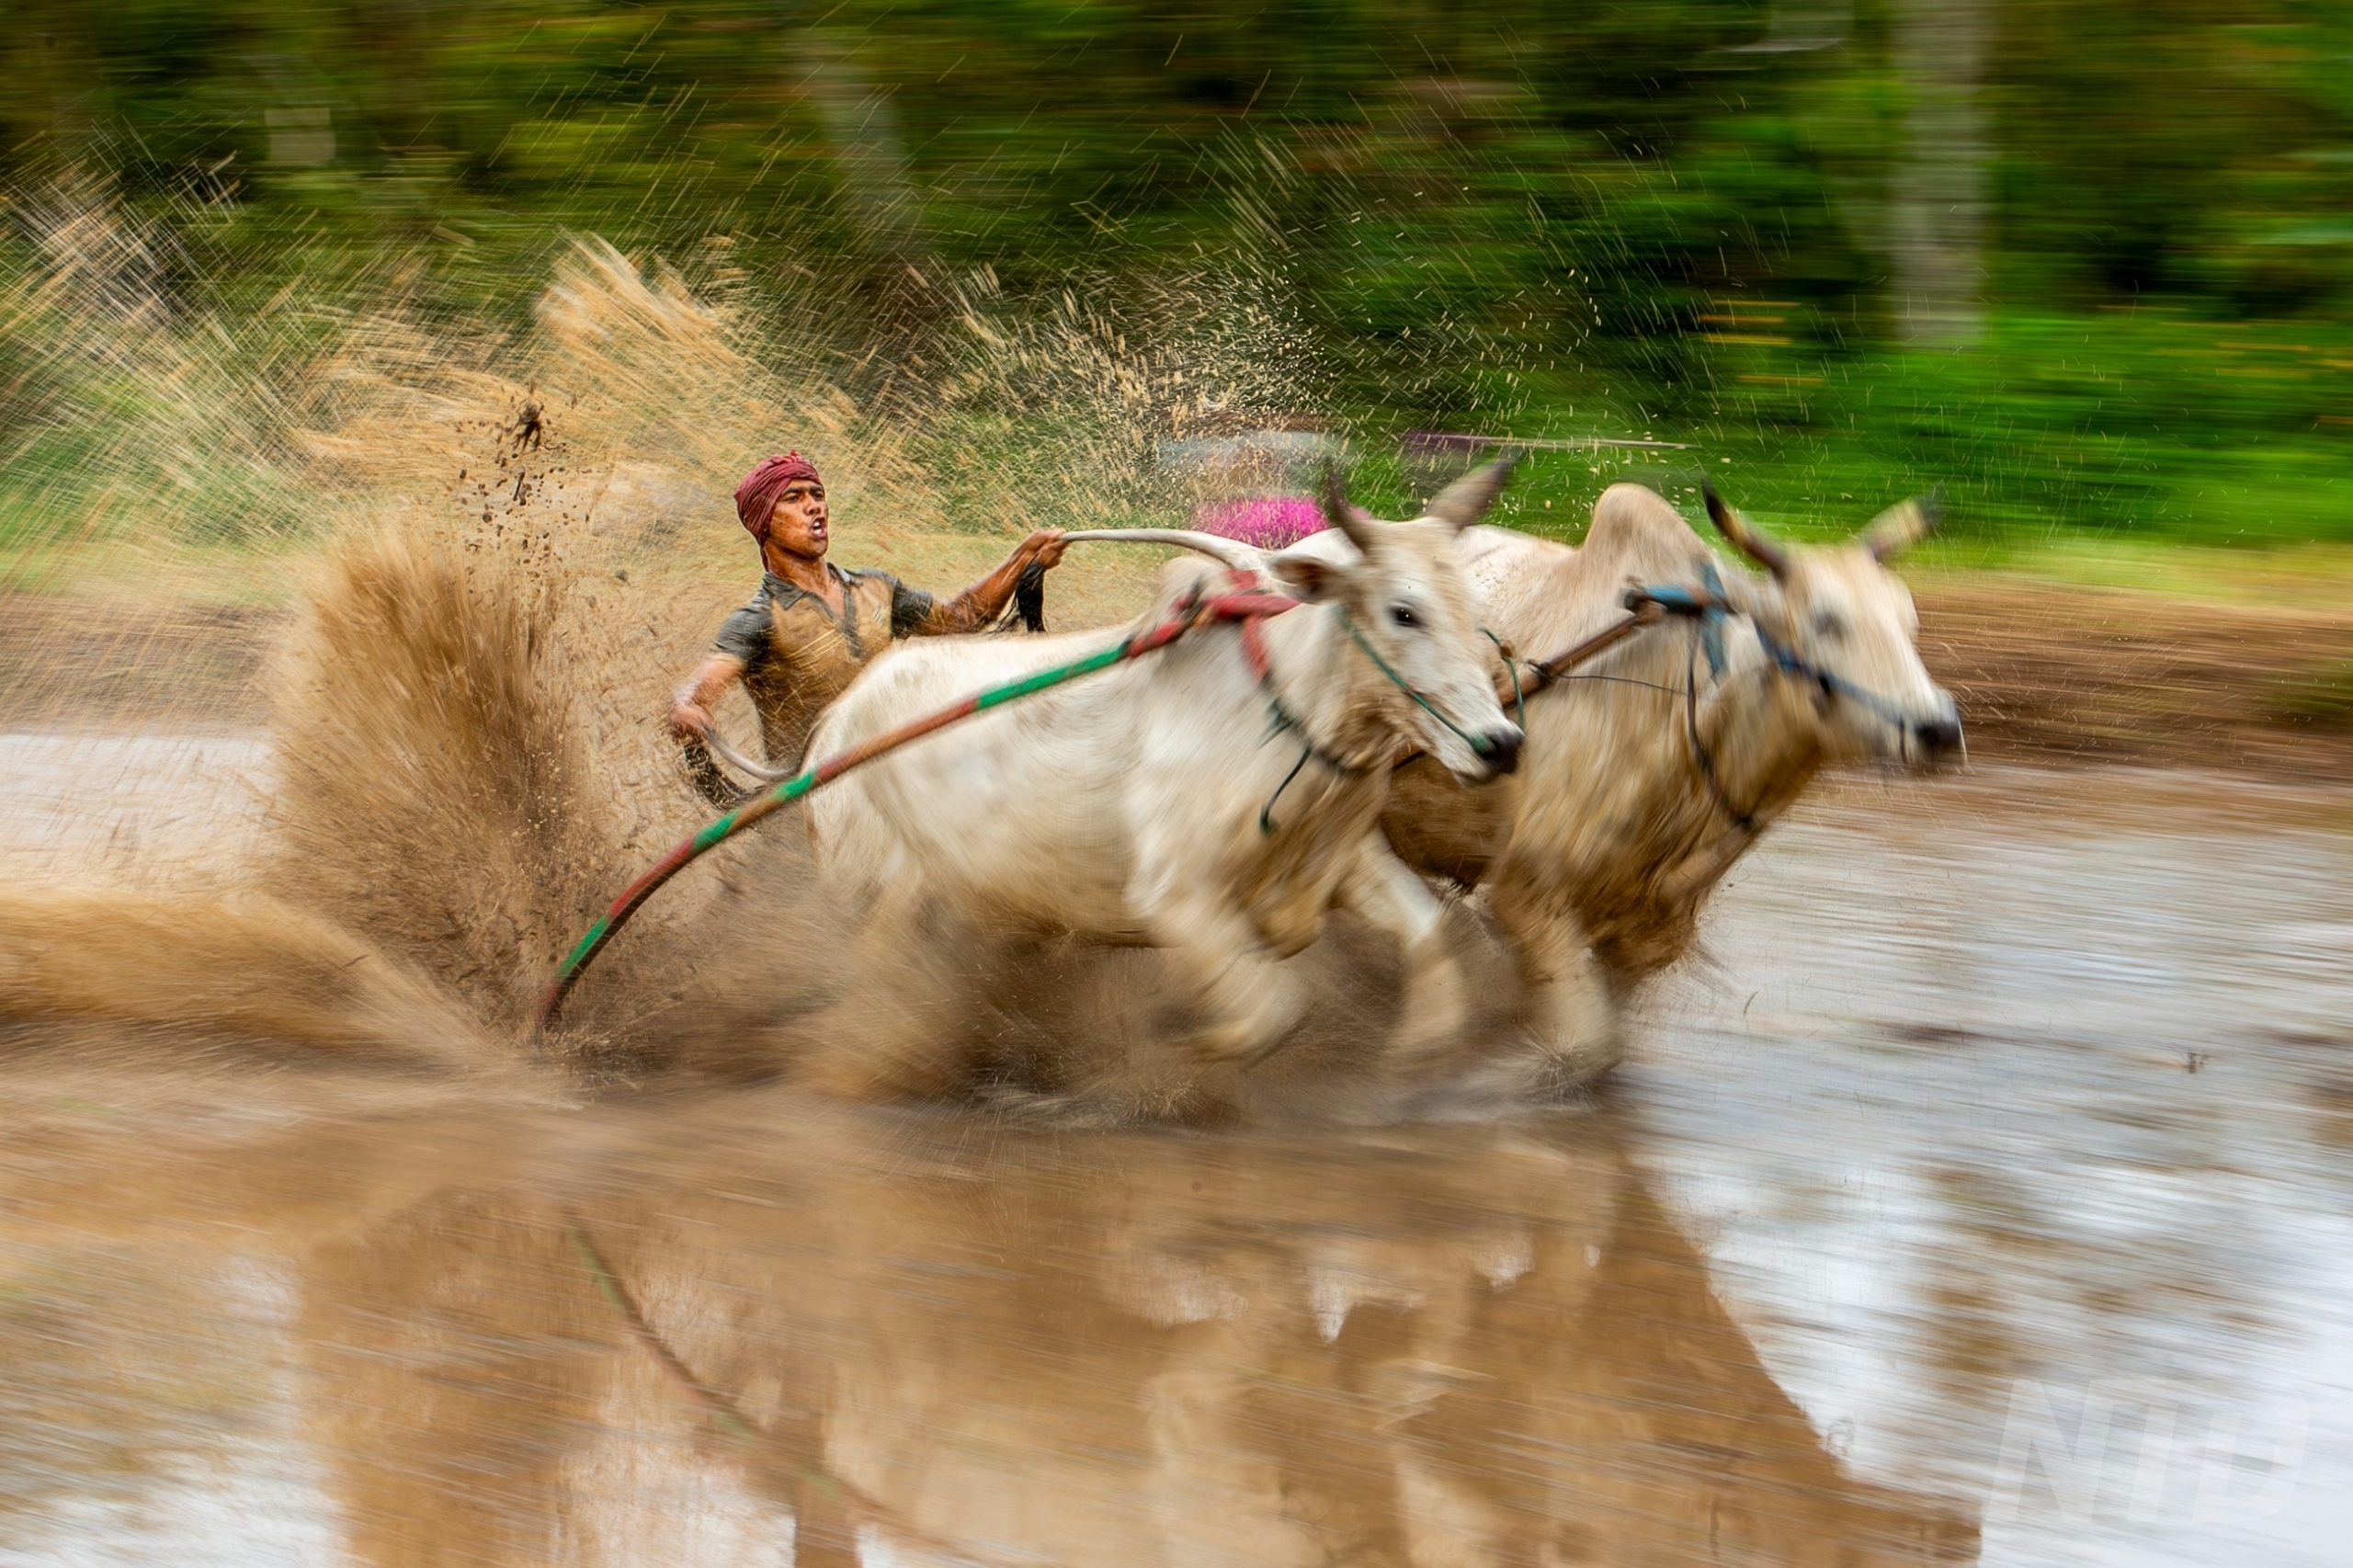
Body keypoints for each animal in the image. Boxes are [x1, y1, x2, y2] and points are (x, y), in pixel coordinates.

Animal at [797, 466, 1525, 1101]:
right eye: (1404, 612)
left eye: (1472, 604)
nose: (1501, 743)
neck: (1290, 709)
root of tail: (836, 723)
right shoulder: (1176, 897)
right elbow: (1274, 1012)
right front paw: (1175, 1059)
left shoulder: (1342, 860)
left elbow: (1424, 932)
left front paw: (1419, 1054)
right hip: (870, 892)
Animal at [1289, 479, 1961, 1090]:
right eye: (1826, 622)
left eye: (1908, 619)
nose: (1938, 729)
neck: (1688, 714)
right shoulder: (1526, 895)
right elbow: (1580, 1050)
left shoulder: (1645, 939)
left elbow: (1599, 1052)